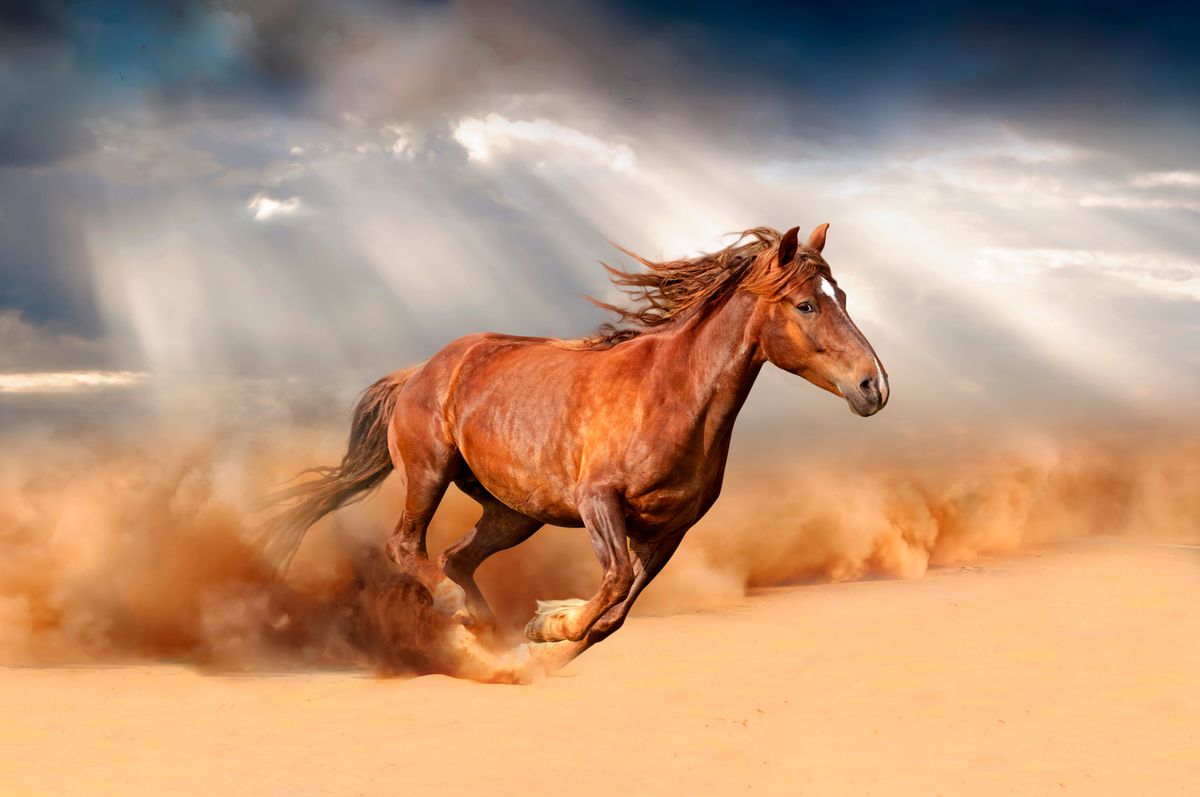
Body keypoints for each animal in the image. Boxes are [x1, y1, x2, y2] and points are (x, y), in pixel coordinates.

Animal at [263, 223, 888, 663]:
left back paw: (487, 631)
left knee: (455, 557)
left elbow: (615, 614)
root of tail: (420, 371)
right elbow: (612, 584)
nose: (874, 387)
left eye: (843, 296)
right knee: (407, 546)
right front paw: (548, 624)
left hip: (514, 513)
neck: (672, 392)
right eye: (806, 304)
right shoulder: (598, 503)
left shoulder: (671, 531)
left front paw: (542, 634)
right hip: (429, 474)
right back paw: (457, 612)